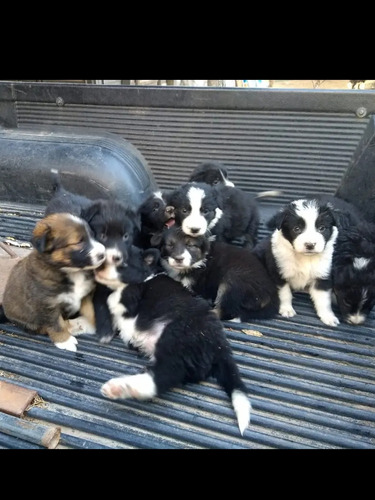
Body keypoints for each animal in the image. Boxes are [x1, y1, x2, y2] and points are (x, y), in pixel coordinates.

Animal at [0, 213, 106, 350]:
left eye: (92, 236)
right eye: (79, 241)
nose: (103, 254)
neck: (72, 271)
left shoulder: (86, 294)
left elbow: (90, 310)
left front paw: (93, 324)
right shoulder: (48, 305)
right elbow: (56, 324)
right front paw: (64, 341)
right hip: (29, 321)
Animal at [97, 272, 251, 436]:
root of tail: (220, 346)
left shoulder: (131, 295)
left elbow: (115, 297)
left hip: (177, 338)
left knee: (165, 373)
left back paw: (122, 388)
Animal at [256, 199, 340, 328]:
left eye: (321, 228)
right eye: (296, 229)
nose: (310, 245)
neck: (305, 258)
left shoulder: (322, 275)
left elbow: (323, 299)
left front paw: (328, 316)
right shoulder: (278, 273)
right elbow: (284, 293)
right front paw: (286, 309)